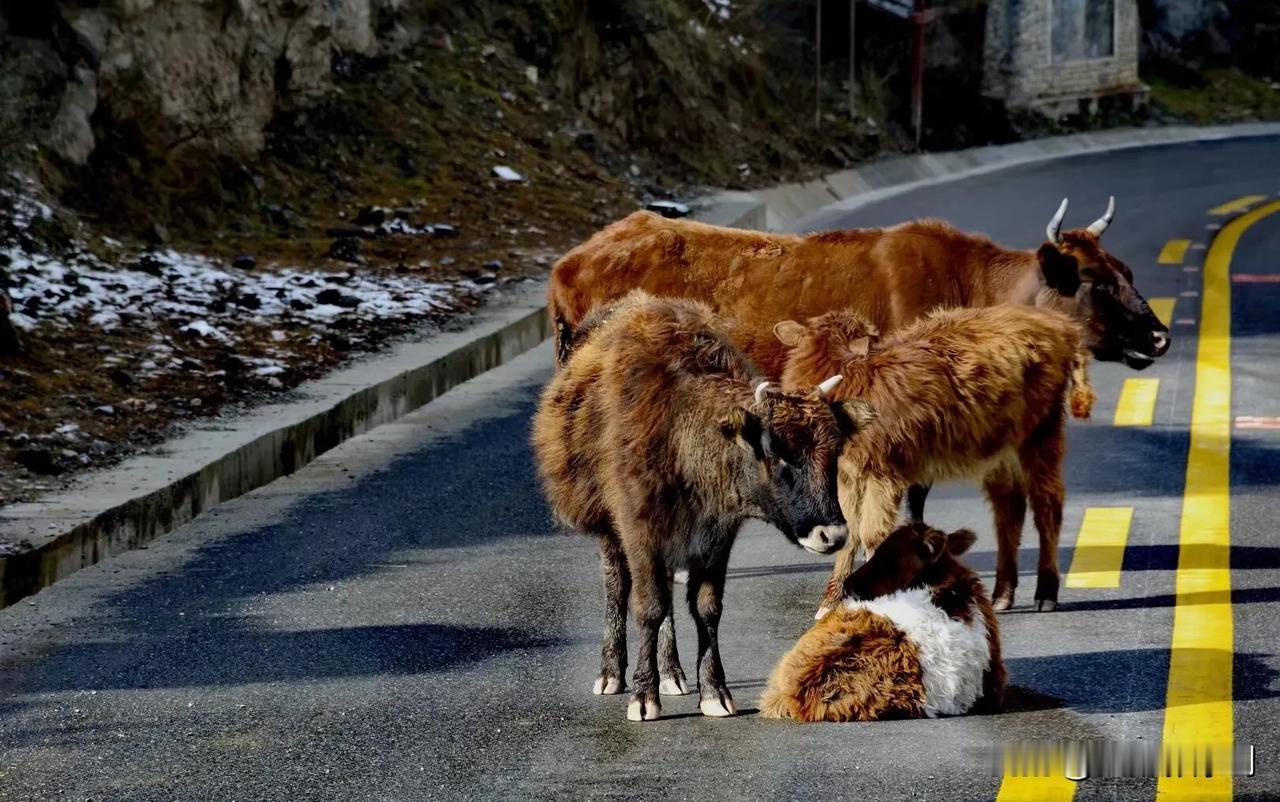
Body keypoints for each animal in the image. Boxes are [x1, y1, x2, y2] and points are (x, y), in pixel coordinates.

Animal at [524, 291, 875, 726]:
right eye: (775, 452)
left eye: (834, 450)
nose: (833, 534)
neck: (682, 433)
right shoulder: (639, 530)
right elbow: (648, 607)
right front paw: (642, 695)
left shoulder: (715, 538)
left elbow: (706, 609)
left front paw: (714, 691)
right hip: (609, 530)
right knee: (617, 588)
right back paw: (611, 671)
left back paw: (672, 672)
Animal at [773, 305, 1095, 613]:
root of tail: (1060, 324)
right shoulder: (847, 476)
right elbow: (848, 535)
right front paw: (829, 602)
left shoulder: (883, 473)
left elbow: (872, 534)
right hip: (998, 452)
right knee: (1009, 510)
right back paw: (1002, 595)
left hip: (1041, 434)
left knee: (1047, 505)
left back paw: (1046, 594)